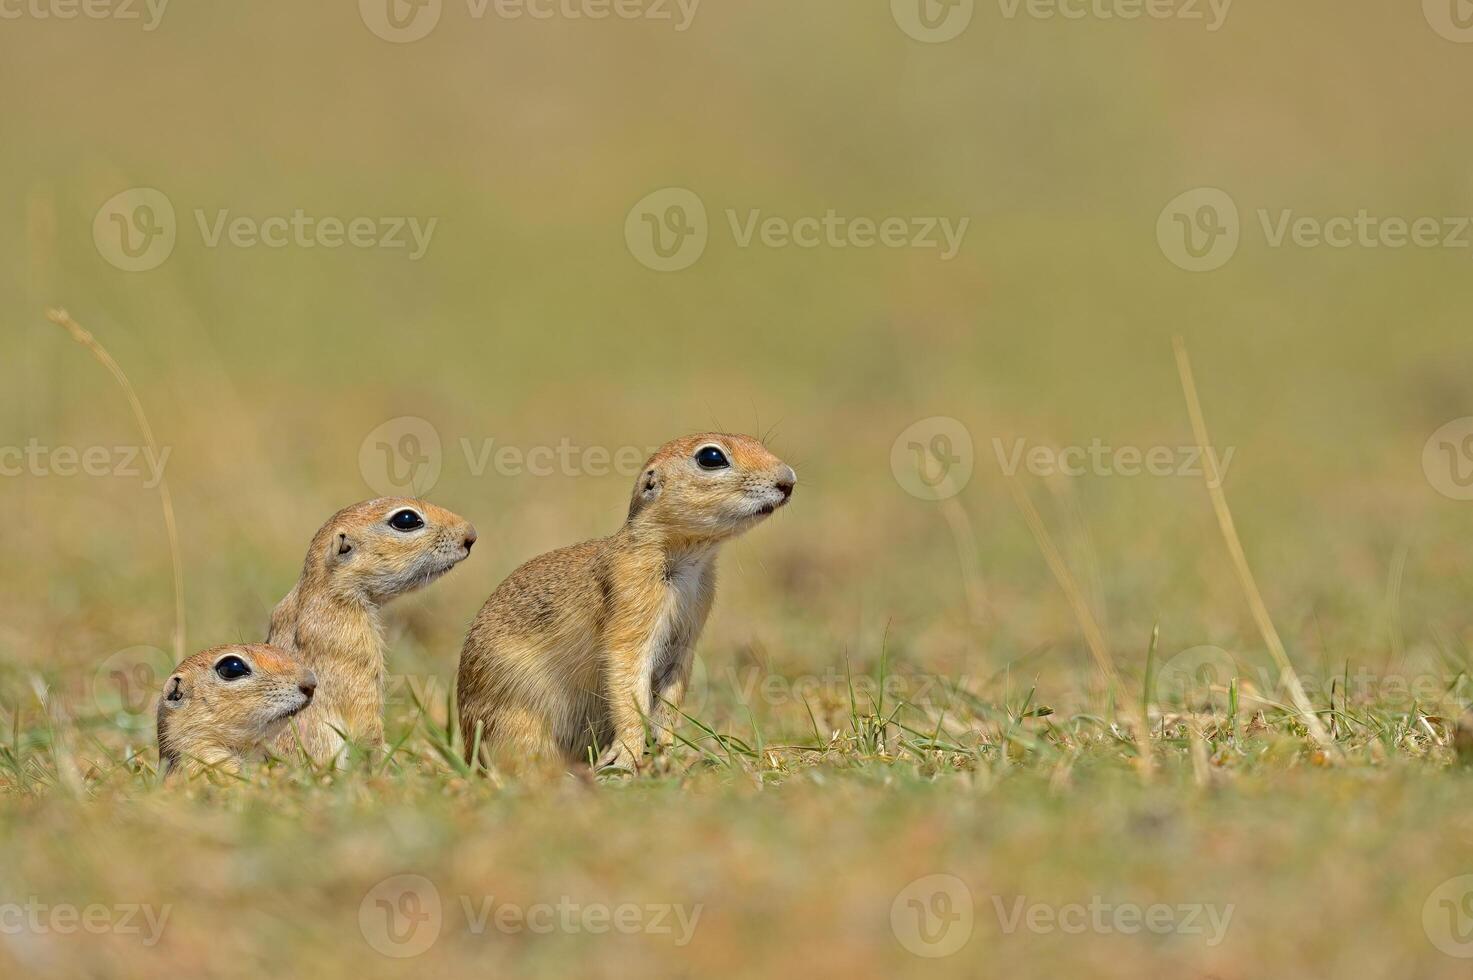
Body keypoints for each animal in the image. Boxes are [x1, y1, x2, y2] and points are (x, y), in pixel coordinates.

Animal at [459, 433, 801, 772]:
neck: (689, 559)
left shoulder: (688, 628)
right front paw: (626, 755)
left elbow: (673, 688)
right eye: (711, 457)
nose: (789, 480)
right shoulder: (632, 597)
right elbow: (626, 673)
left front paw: (665, 749)